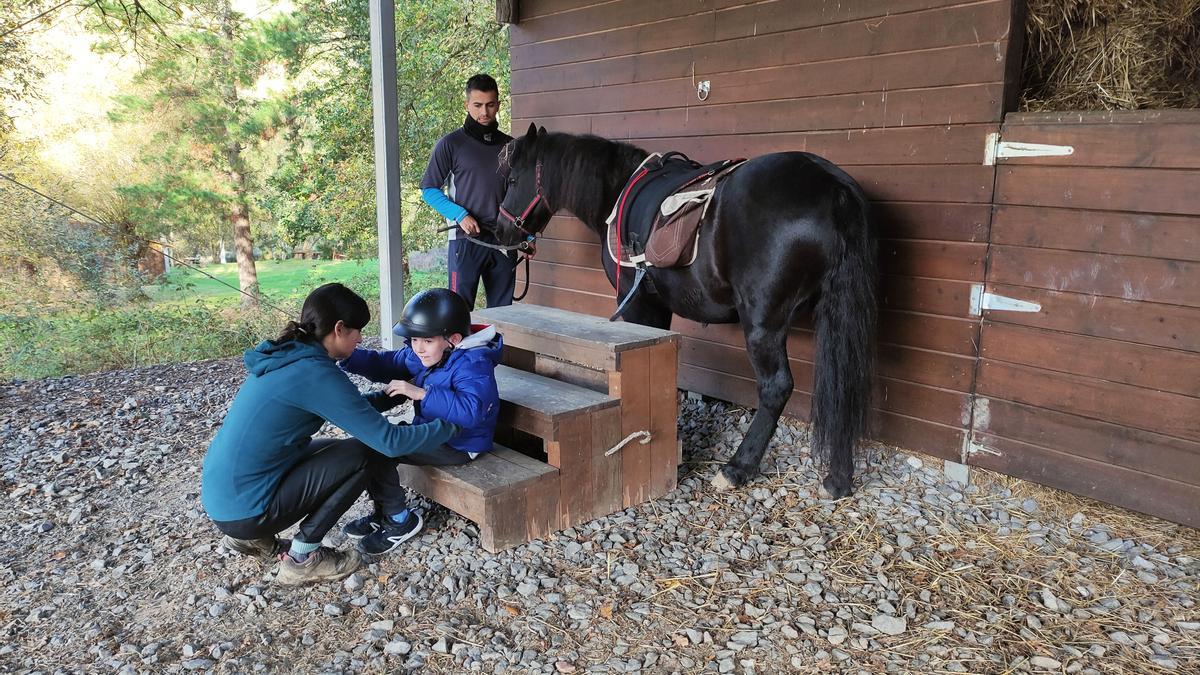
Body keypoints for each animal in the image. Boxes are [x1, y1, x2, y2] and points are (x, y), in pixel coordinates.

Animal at [493, 124, 877, 499]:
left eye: (512, 180)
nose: (500, 231)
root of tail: (832, 186)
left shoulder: (638, 302)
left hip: (763, 324)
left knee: (776, 387)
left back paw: (737, 469)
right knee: (841, 386)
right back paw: (838, 478)